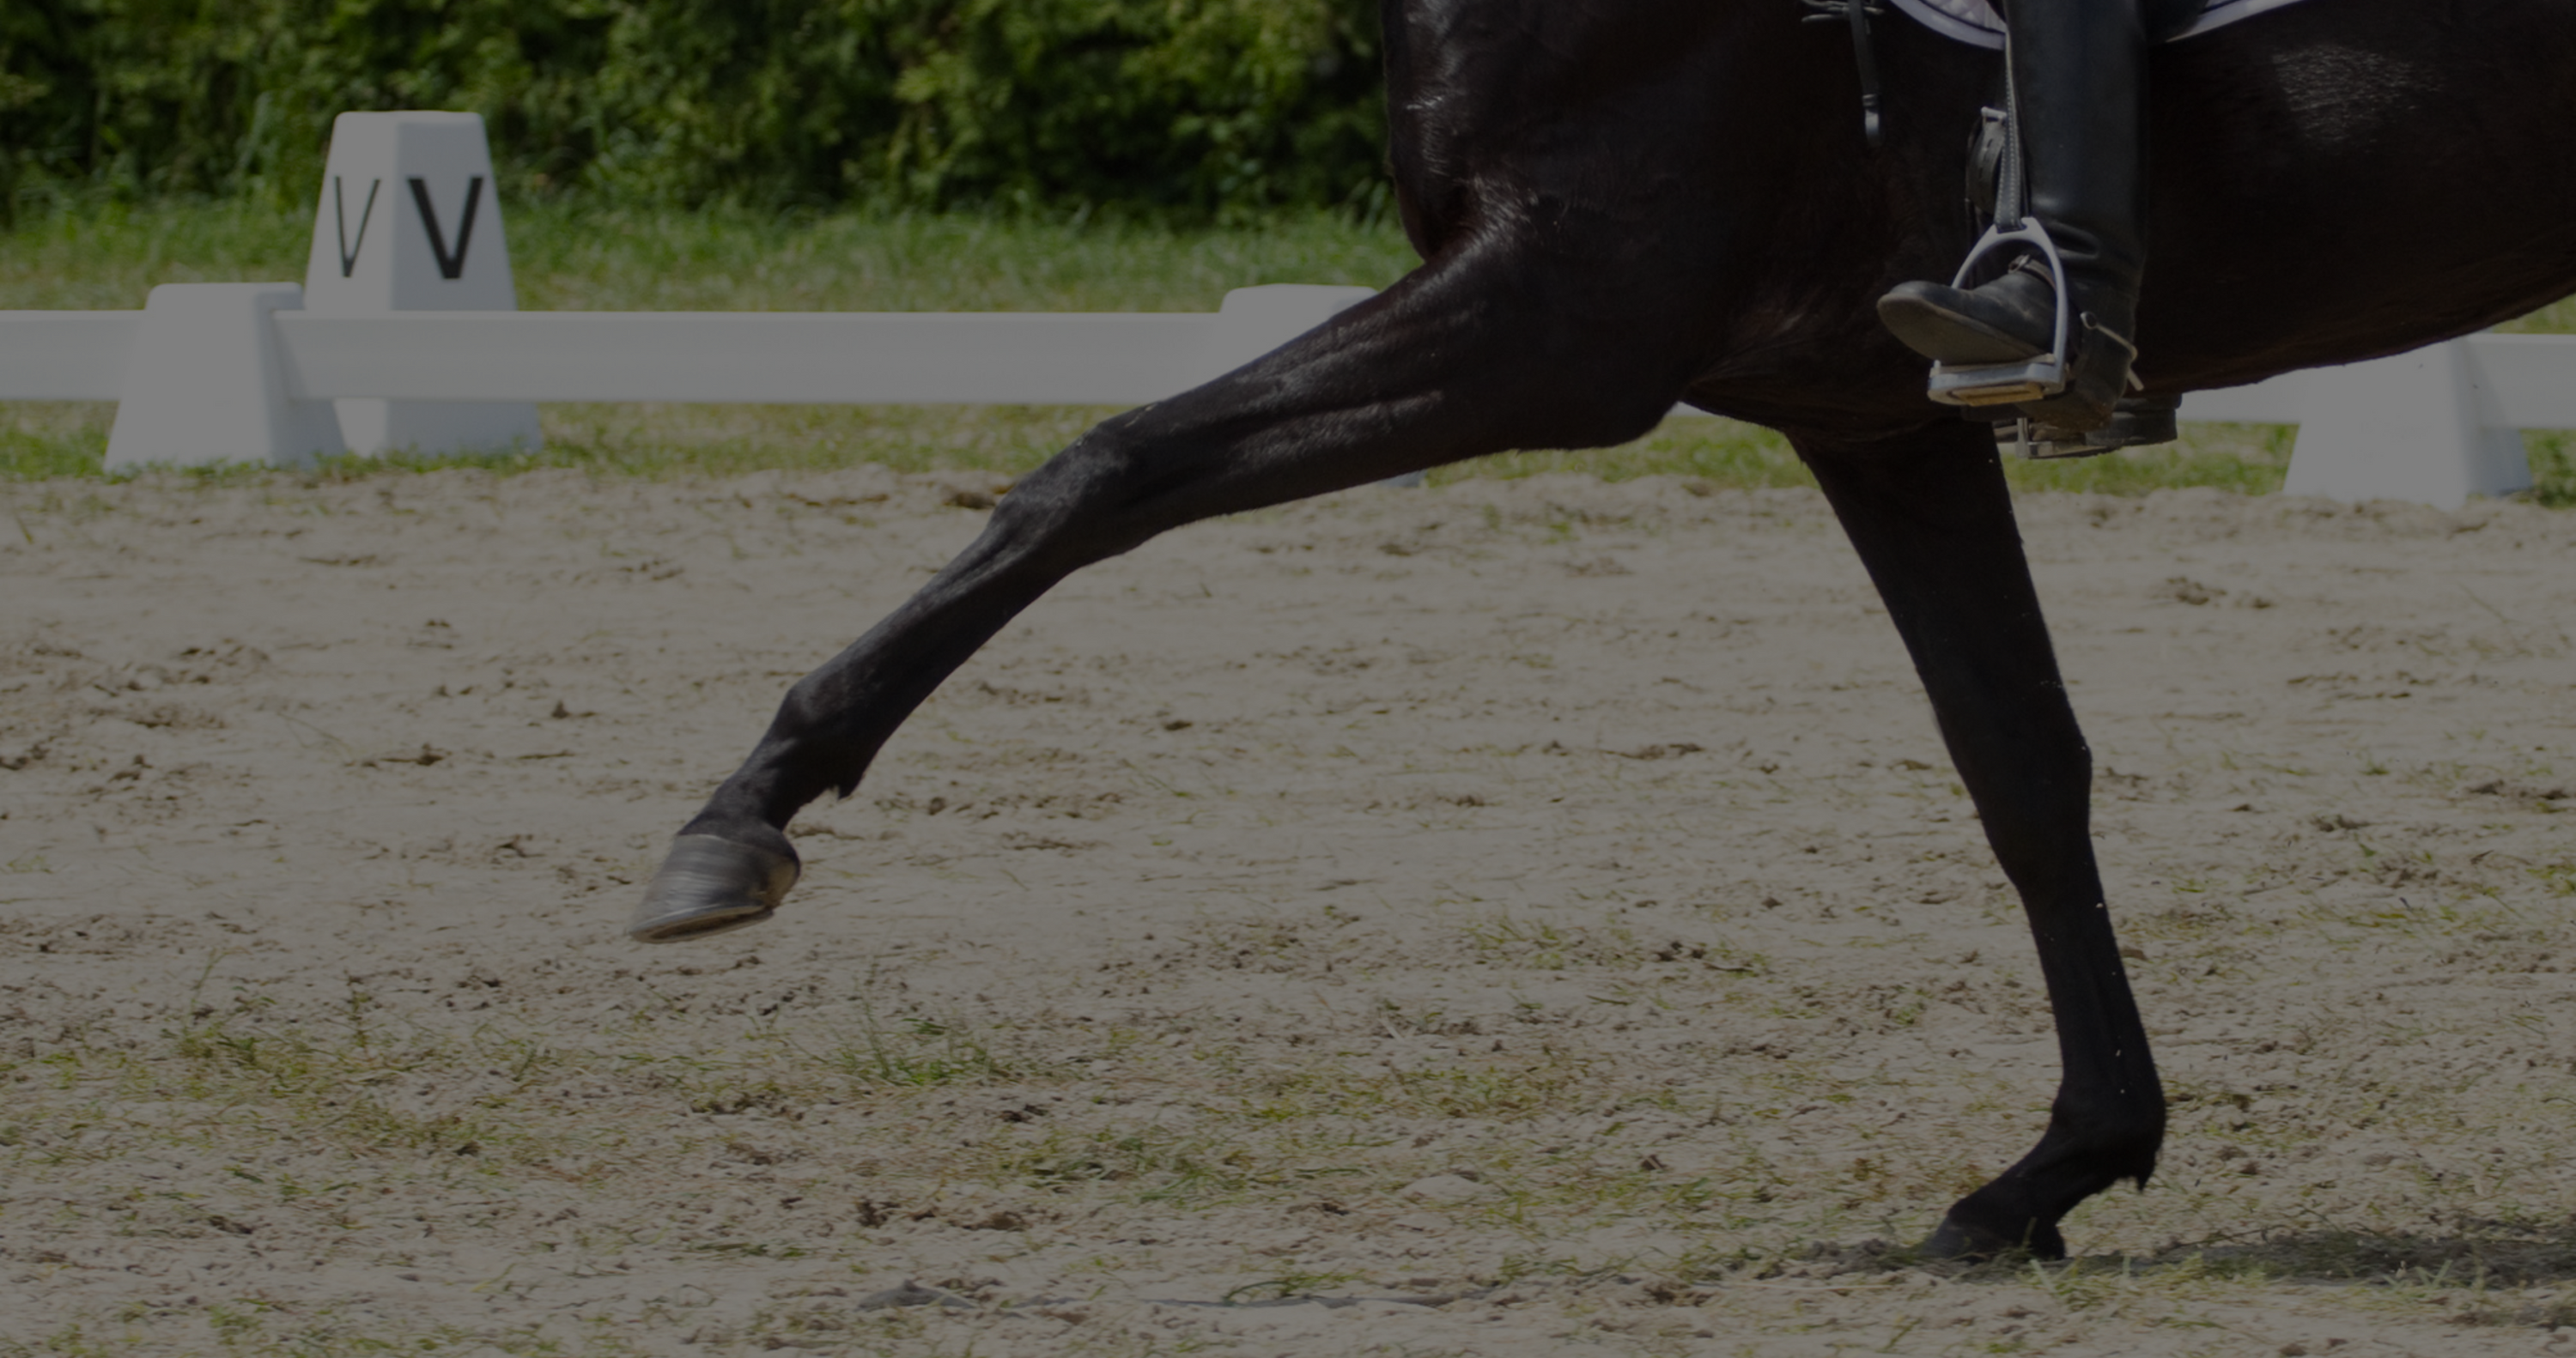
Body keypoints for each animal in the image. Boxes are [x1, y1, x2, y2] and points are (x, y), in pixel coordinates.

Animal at [629, 0, 2576, 1262]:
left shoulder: (1565, 316)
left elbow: (1098, 472)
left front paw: (740, 817)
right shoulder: (1874, 418)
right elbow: (2021, 764)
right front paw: (2064, 1166)